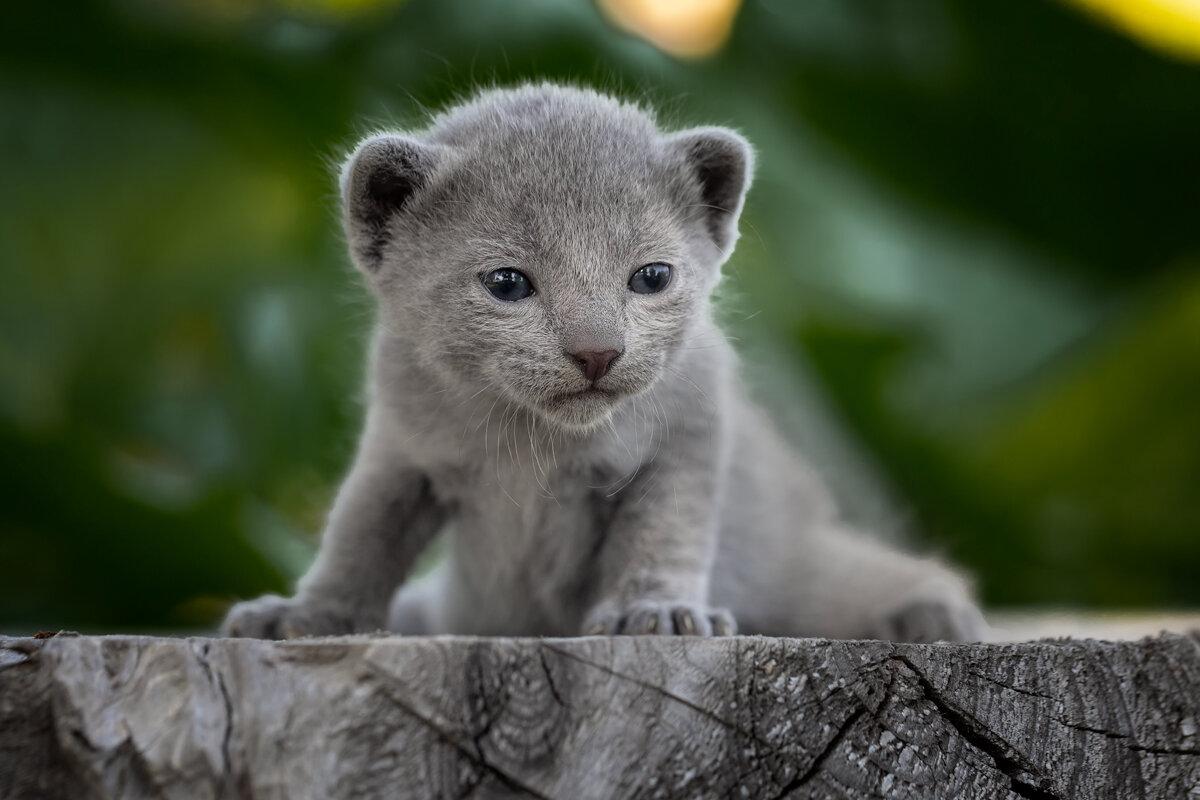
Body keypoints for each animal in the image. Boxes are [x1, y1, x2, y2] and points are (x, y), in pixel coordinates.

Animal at [223, 82, 984, 642]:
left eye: (651, 276)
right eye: (507, 283)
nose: (598, 351)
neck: (536, 444)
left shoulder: (687, 440)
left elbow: (662, 532)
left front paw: (658, 614)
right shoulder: (399, 449)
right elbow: (358, 534)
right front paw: (303, 616)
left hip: (804, 564)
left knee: (878, 574)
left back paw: (934, 615)